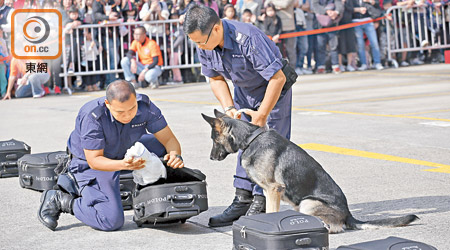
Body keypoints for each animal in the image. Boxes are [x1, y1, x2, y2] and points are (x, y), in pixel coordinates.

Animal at [202, 110, 420, 233]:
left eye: (213, 139)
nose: (210, 158)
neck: (250, 139)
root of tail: (348, 214)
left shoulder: (274, 189)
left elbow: (271, 212)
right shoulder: (268, 191)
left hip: (308, 203)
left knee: (334, 228)